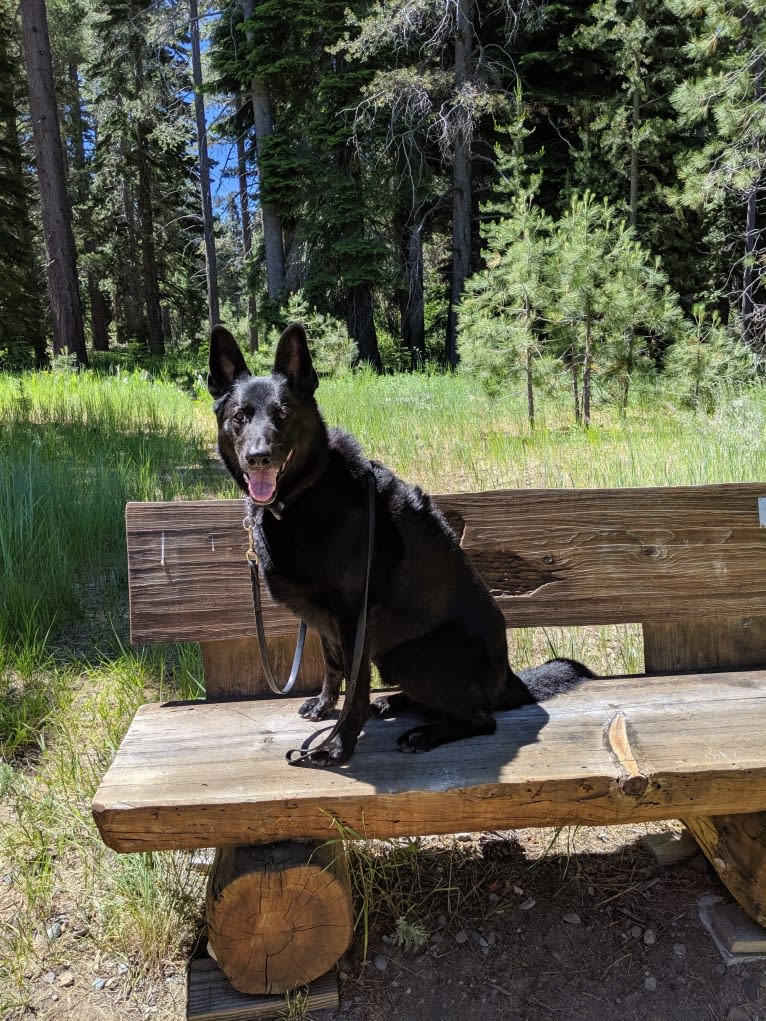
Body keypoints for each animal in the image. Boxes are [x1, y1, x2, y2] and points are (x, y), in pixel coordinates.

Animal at [207, 324, 592, 767]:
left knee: (482, 719)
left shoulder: (354, 619)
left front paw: (336, 746)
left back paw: (424, 733)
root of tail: (508, 680)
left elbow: (355, 689)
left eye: (283, 414)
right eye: (239, 417)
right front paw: (324, 707)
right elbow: (334, 667)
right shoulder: (327, 622)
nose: (259, 457)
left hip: (406, 655)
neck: (306, 493)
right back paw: (392, 704)